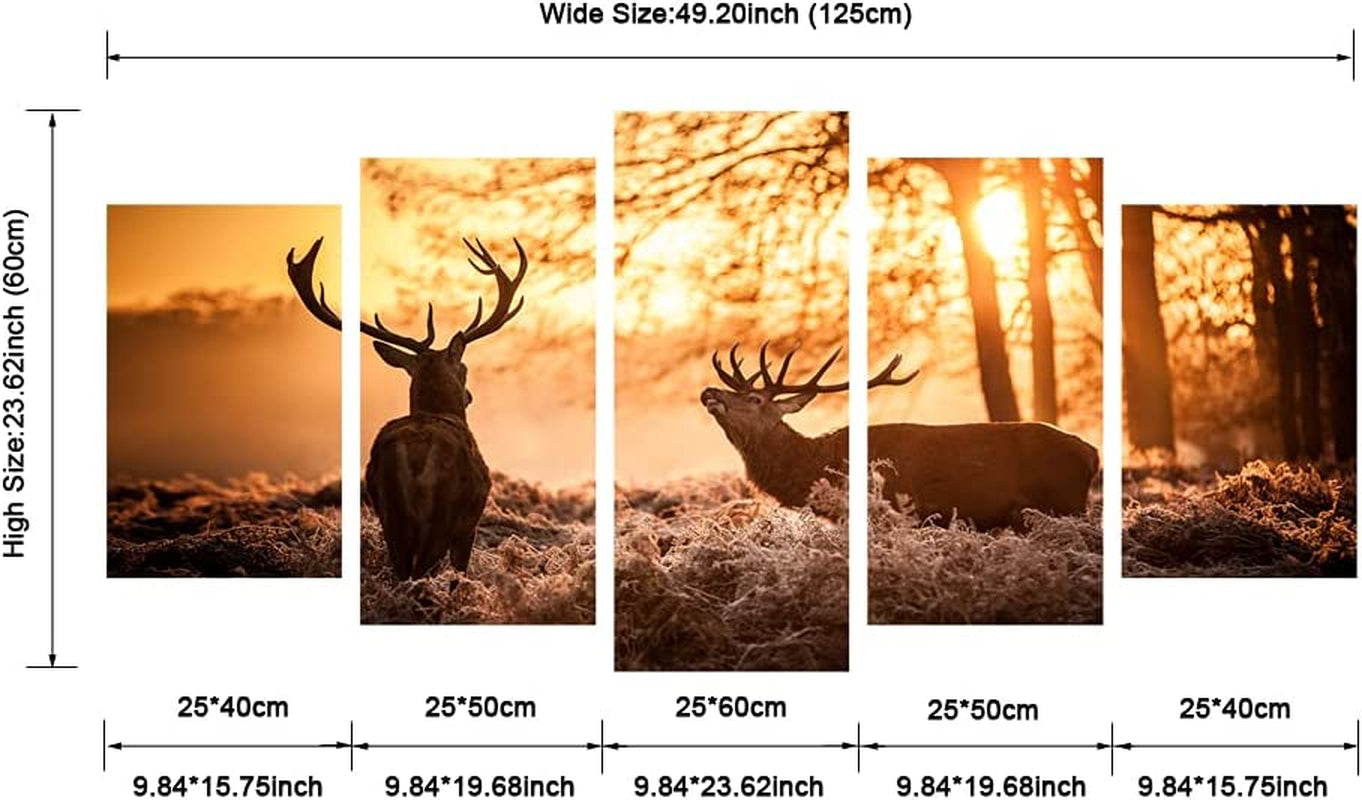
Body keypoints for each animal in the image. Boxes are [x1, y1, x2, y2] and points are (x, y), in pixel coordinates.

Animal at [286, 236, 528, 580]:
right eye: (464, 368)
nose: (469, 395)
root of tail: (414, 457)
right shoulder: (468, 525)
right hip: (441, 517)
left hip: (390, 514)